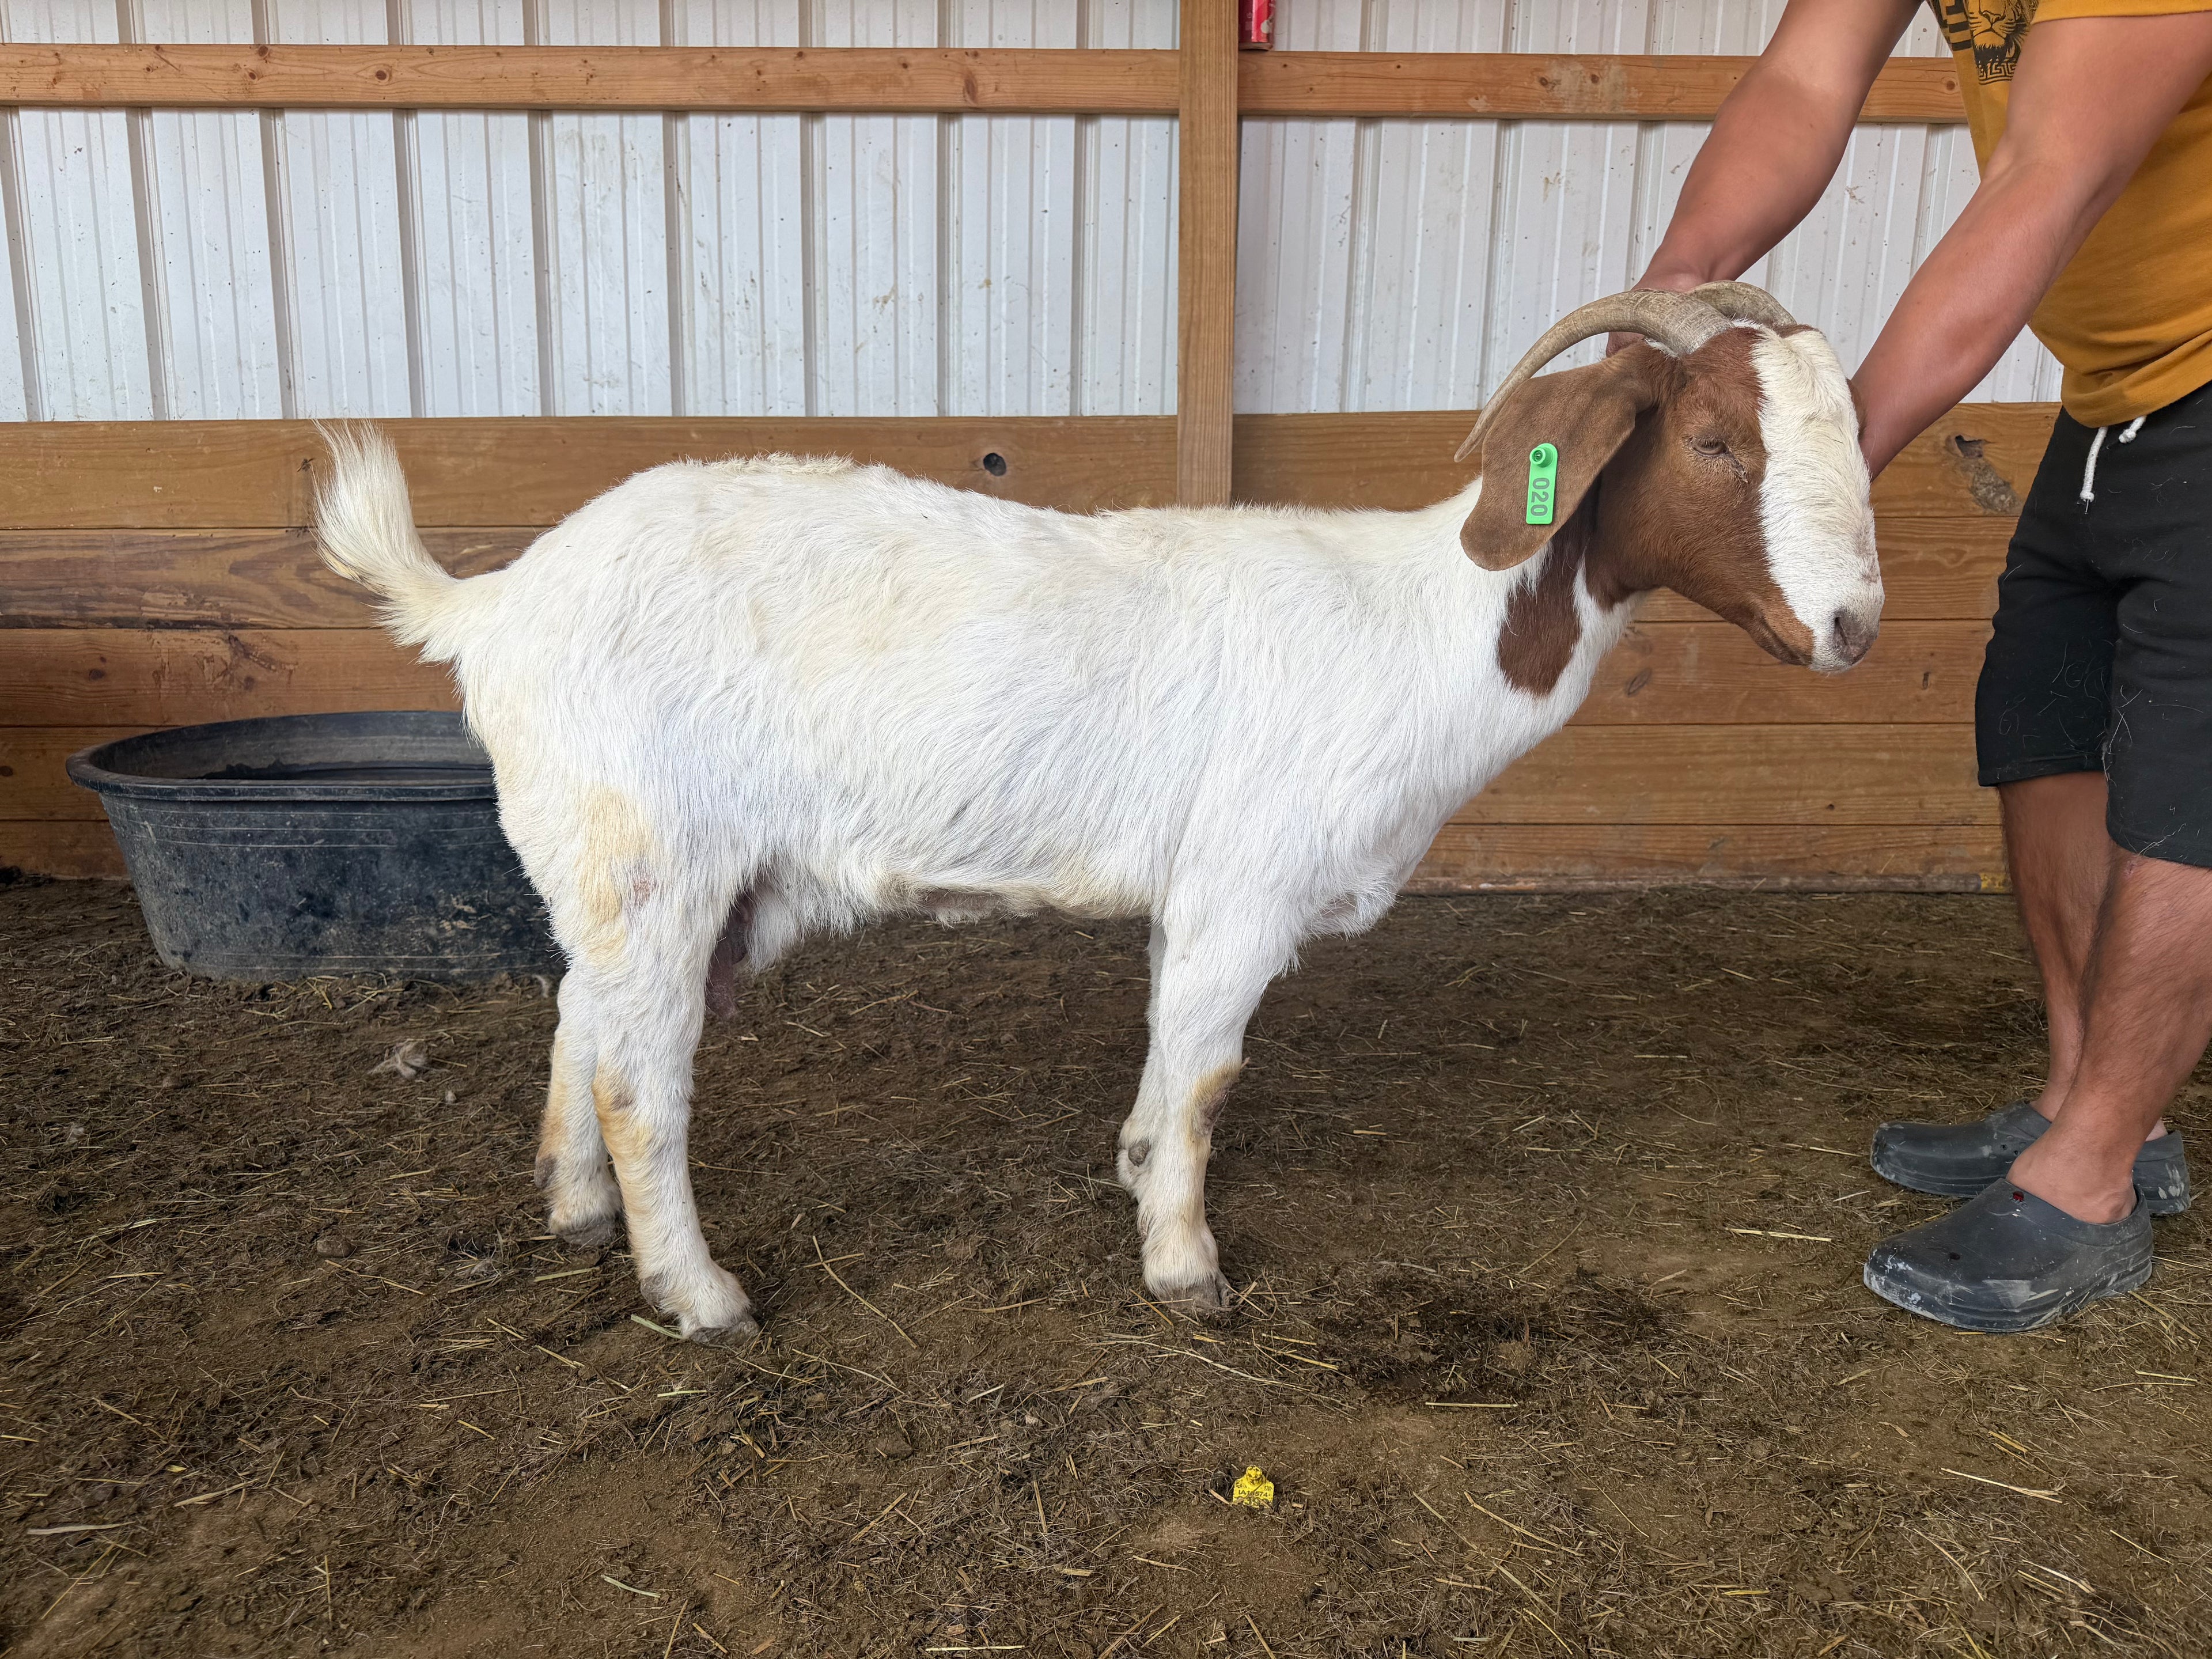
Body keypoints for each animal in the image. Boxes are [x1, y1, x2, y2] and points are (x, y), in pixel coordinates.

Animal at [316, 282, 1880, 1341]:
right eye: (1714, 439)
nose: (1856, 628)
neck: (1429, 627)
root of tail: (493, 606)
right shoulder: (1248, 884)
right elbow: (1209, 1074)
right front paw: (1186, 1267)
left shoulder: (1200, 895)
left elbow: (1168, 1049)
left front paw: (1132, 1173)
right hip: (656, 847)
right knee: (642, 1075)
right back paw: (699, 1292)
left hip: (615, 859)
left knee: (580, 1010)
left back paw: (573, 1206)